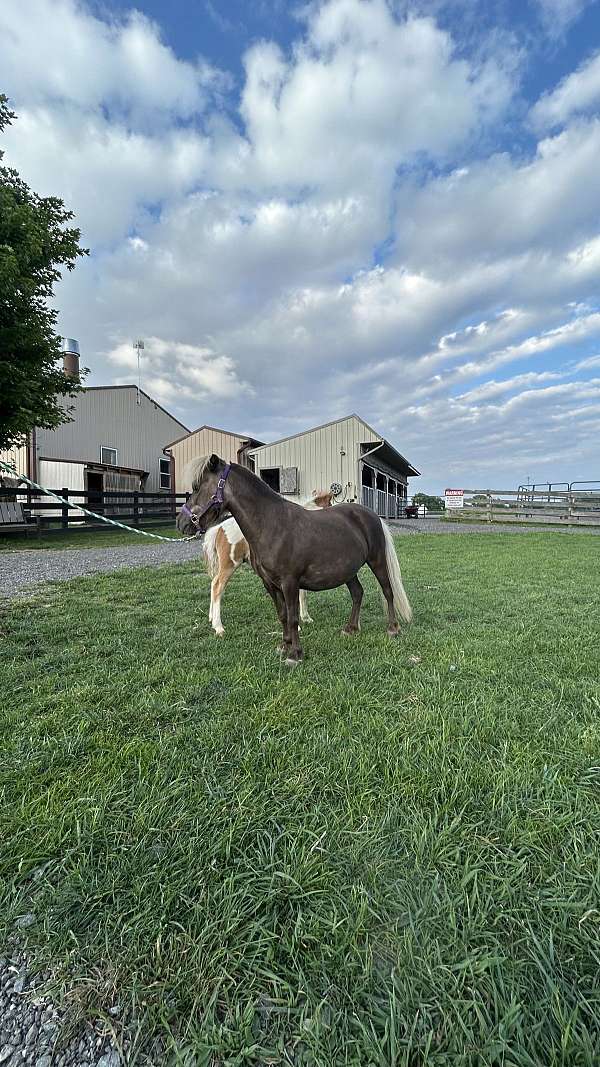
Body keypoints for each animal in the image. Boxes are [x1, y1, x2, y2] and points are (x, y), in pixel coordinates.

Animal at [200, 488, 330, 631]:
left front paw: (306, 618)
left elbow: (303, 594)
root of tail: (220, 528)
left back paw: (211, 618)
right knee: (218, 586)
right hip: (230, 564)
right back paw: (218, 627)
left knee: (213, 583)